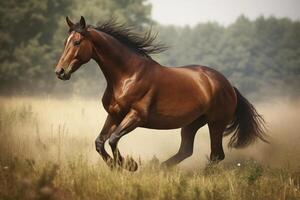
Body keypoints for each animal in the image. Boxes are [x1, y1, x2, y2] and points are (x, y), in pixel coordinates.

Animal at [55, 16, 266, 171]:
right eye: (64, 42)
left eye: (77, 42)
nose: (60, 72)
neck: (127, 75)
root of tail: (229, 85)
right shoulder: (114, 114)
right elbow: (100, 142)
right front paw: (117, 166)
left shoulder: (136, 116)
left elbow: (113, 138)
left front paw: (130, 165)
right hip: (192, 123)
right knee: (186, 151)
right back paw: (158, 167)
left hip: (216, 123)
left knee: (216, 155)